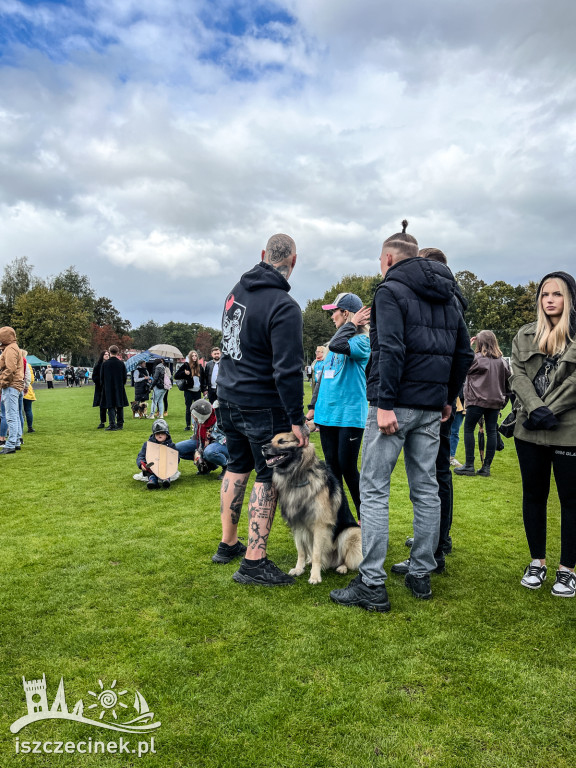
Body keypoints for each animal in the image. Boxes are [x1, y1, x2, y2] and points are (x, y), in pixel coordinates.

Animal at [262, 432, 360, 584]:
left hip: (351, 532)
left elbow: (316, 554)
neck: (297, 477)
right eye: (271, 440)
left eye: (282, 441)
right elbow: (301, 551)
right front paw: (299, 568)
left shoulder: (320, 526)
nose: (262, 448)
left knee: (347, 559)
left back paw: (342, 567)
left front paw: (314, 576)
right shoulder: (297, 525)